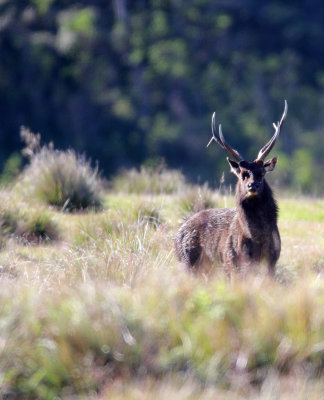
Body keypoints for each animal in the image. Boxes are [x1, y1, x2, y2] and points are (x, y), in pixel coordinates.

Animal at [175, 101, 288, 276]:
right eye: (243, 174)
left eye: (261, 173)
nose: (252, 185)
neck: (258, 239)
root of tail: (176, 235)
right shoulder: (231, 261)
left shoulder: (272, 260)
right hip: (187, 262)